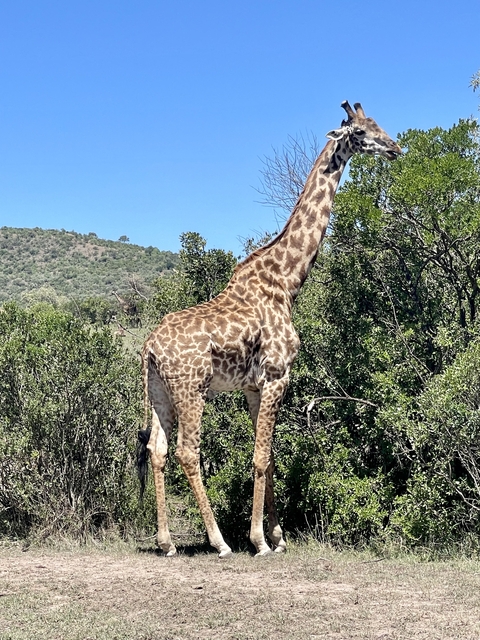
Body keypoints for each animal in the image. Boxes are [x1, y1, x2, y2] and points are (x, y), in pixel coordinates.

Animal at [139, 101, 402, 558]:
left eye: (377, 124)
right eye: (362, 132)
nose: (395, 147)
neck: (287, 281)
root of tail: (151, 346)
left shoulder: (252, 386)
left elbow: (271, 455)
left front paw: (279, 537)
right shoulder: (279, 374)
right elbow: (261, 456)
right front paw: (260, 539)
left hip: (159, 390)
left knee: (157, 449)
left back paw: (167, 541)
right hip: (191, 387)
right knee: (188, 452)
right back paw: (220, 541)